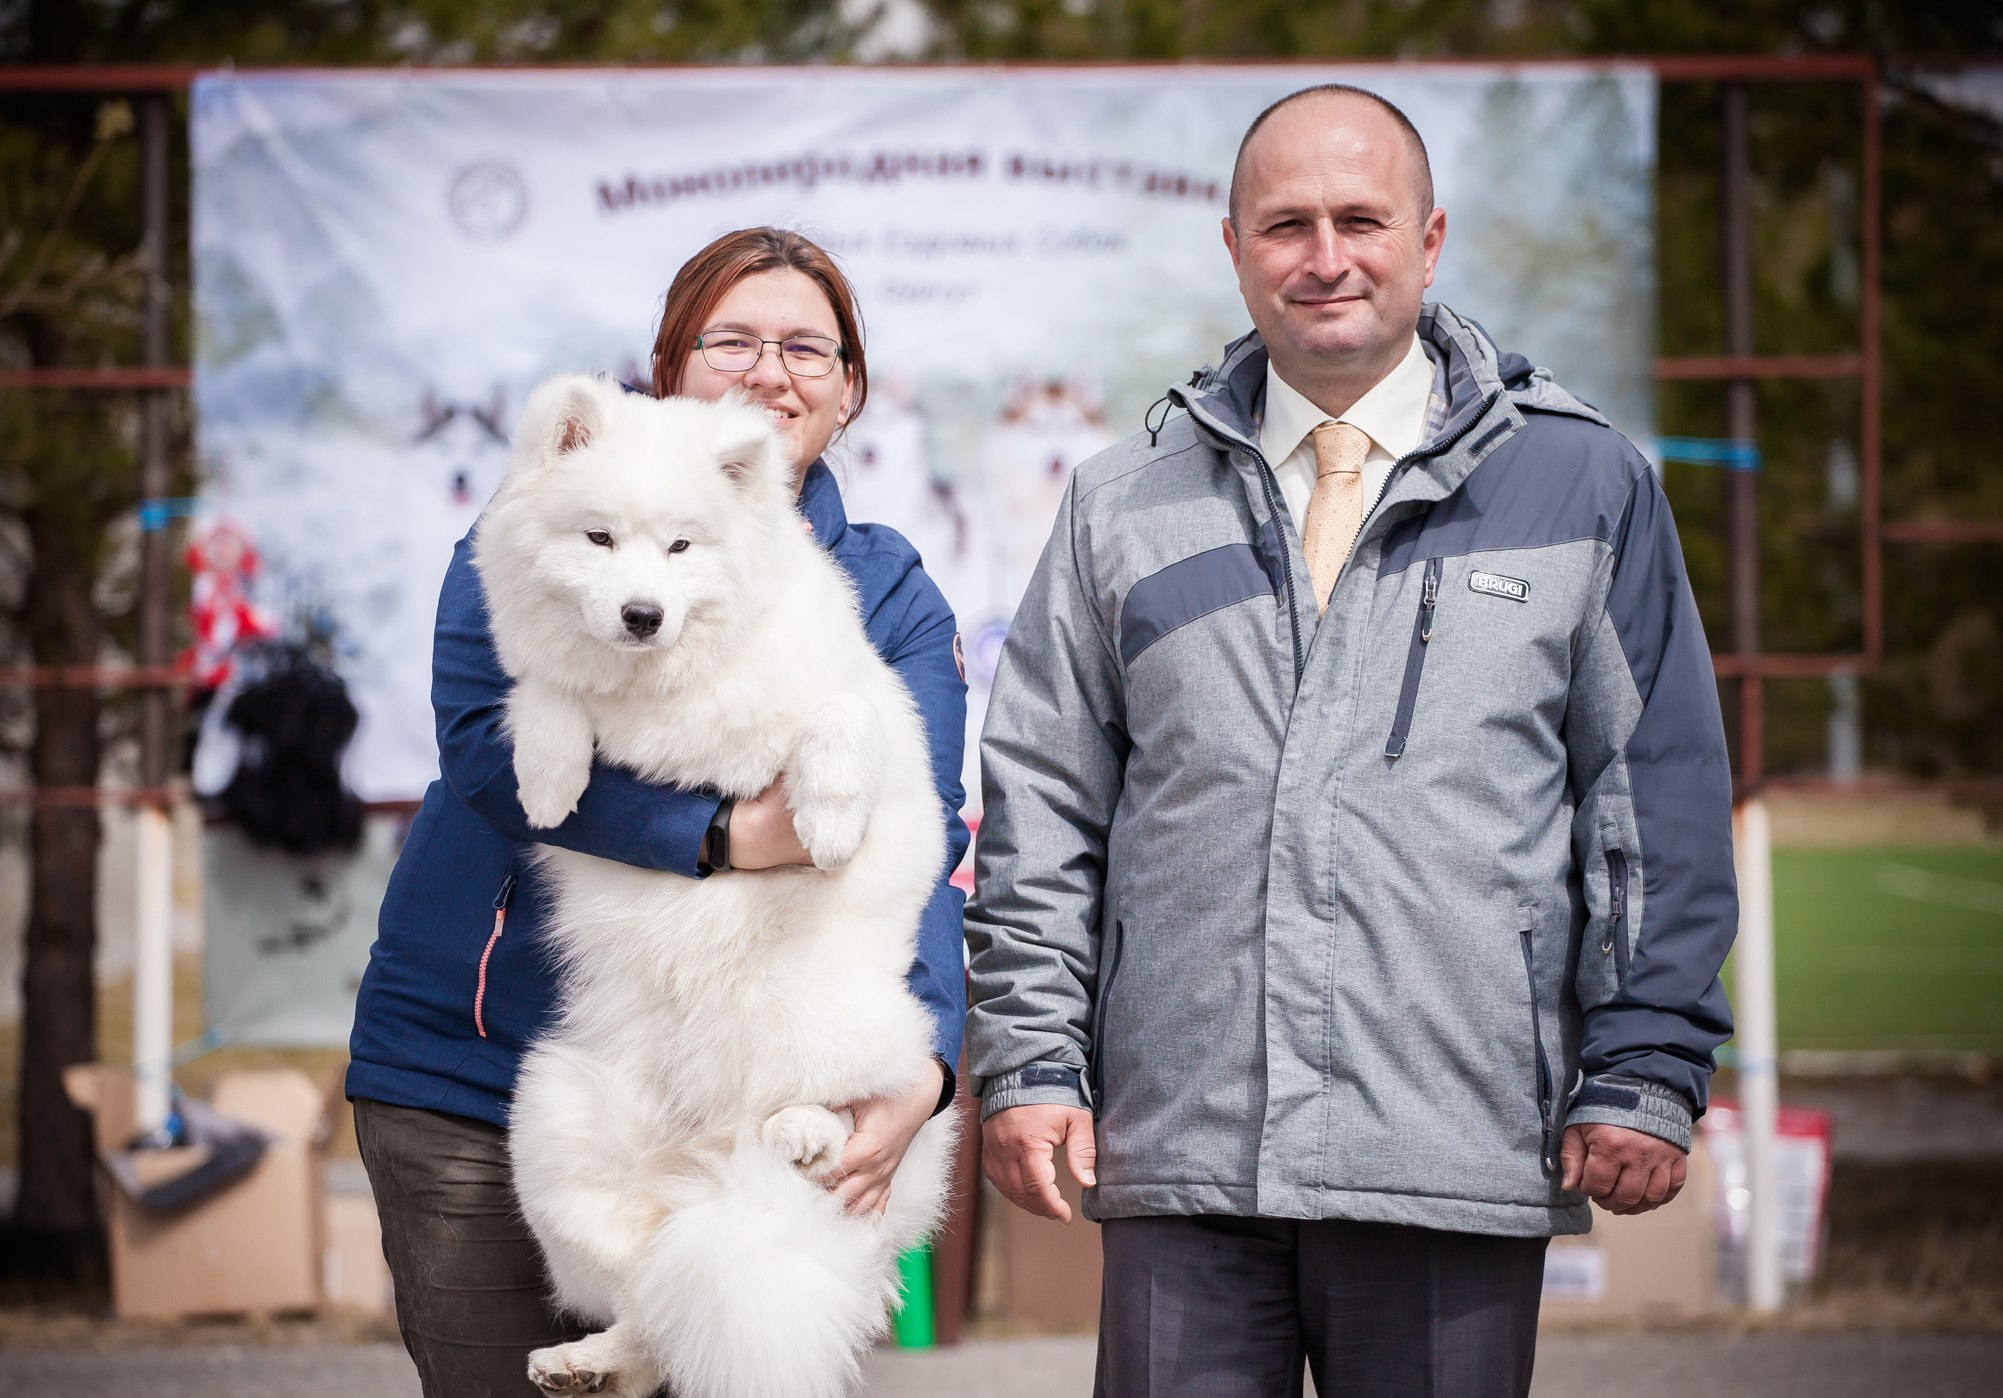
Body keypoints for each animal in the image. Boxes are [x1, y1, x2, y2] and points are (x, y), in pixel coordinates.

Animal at [476, 370, 961, 1393]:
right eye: (599, 539)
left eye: (681, 547)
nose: (641, 615)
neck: (668, 682)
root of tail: (712, 1148)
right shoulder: (554, 681)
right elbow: (544, 695)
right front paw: (548, 784)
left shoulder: (861, 702)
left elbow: (836, 726)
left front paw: (829, 826)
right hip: (551, 1127)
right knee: (652, 1299)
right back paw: (584, 1362)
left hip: (846, 1028)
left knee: (843, 1108)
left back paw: (803, 1134)